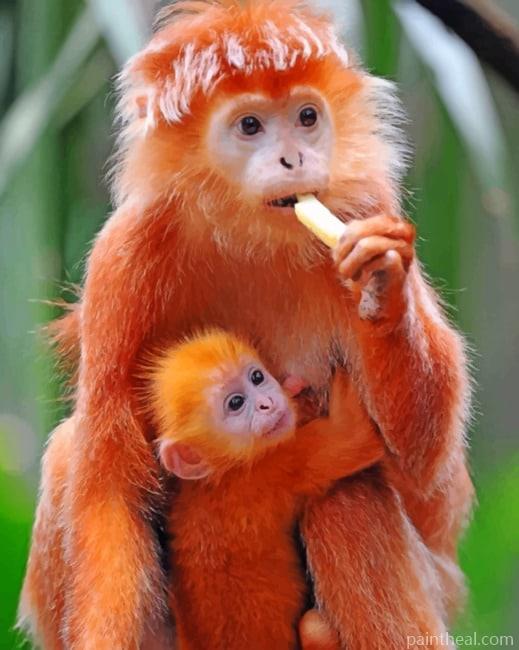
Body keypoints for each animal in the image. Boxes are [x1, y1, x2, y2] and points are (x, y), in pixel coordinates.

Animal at [148, 329, 384, 649]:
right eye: (236, 403)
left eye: (257, 377)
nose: (267, 403)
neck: (224, 470)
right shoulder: (278, 465)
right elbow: (356, 436)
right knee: (314, 626)